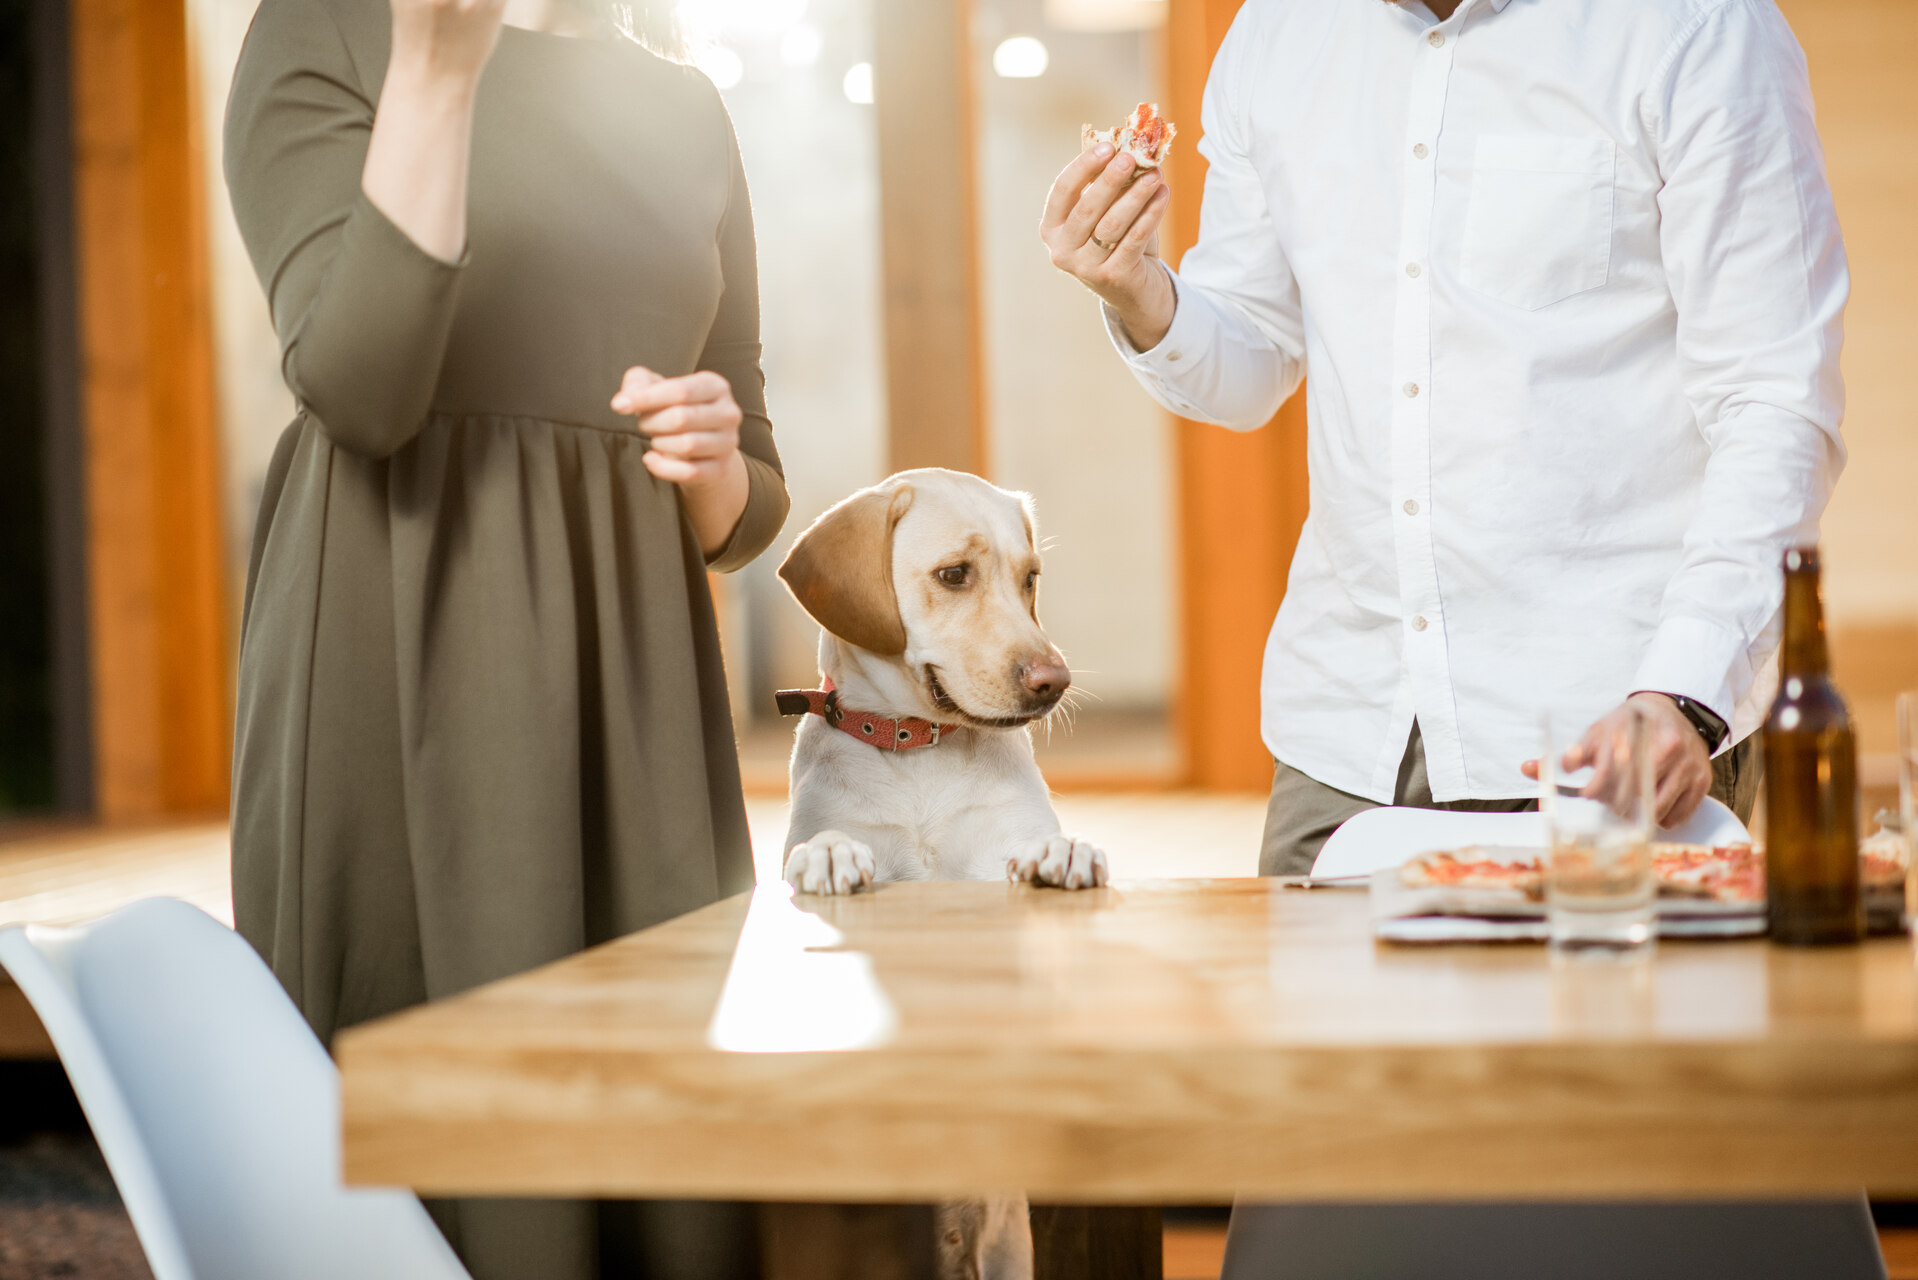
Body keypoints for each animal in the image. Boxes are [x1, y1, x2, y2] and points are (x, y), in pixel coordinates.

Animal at [778, 466, 1112, 898]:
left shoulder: (999, 846)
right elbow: (828, 837)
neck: (920, 749)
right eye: (953, 574)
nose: (1055, 684)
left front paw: (1063, 847)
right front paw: (829, 849)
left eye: (1030, 578)